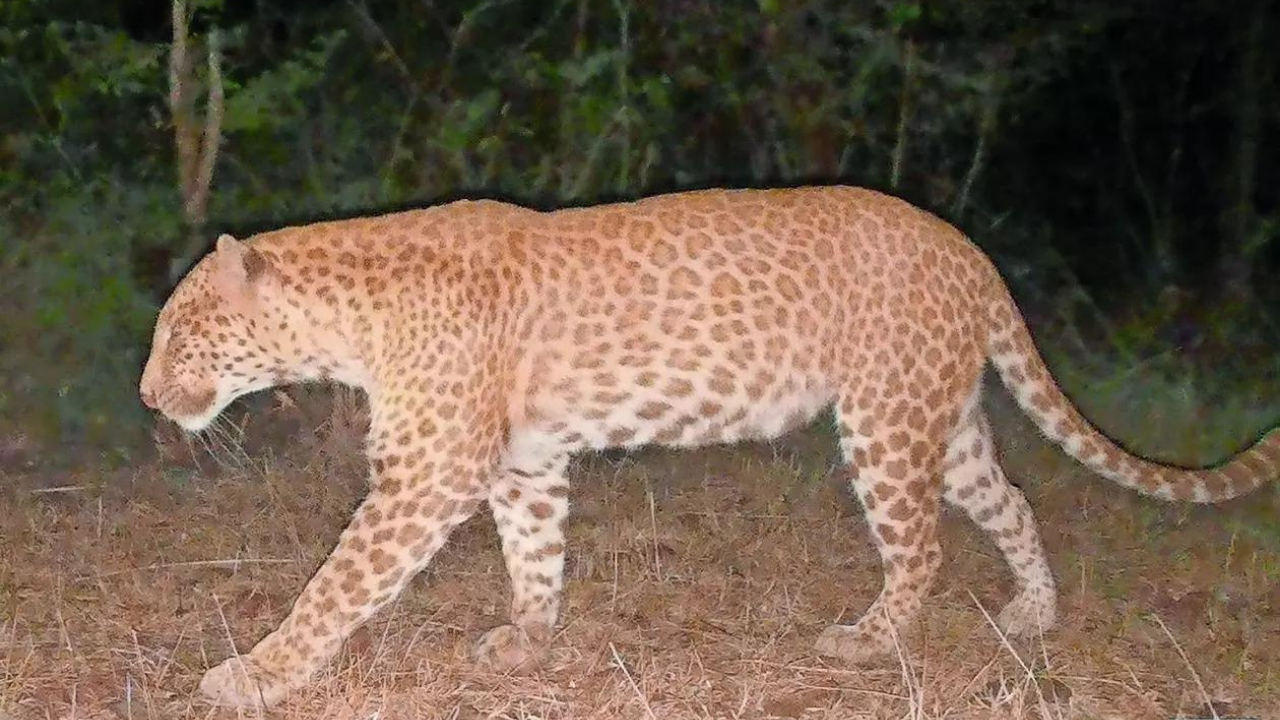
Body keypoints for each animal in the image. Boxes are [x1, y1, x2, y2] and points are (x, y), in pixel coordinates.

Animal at [138, 186, 1279, 708]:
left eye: (180, 335)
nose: (148, 397)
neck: (347, 319)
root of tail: (966, 247)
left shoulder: (427, 475)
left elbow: (335, 584)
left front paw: (252, 674)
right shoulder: (522, 461)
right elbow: (534, 555)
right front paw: (528, 643)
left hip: (882, 421)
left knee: (918, 547)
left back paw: (868, 642)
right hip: (940, 422)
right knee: (1011, 503)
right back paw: (1032, 614)